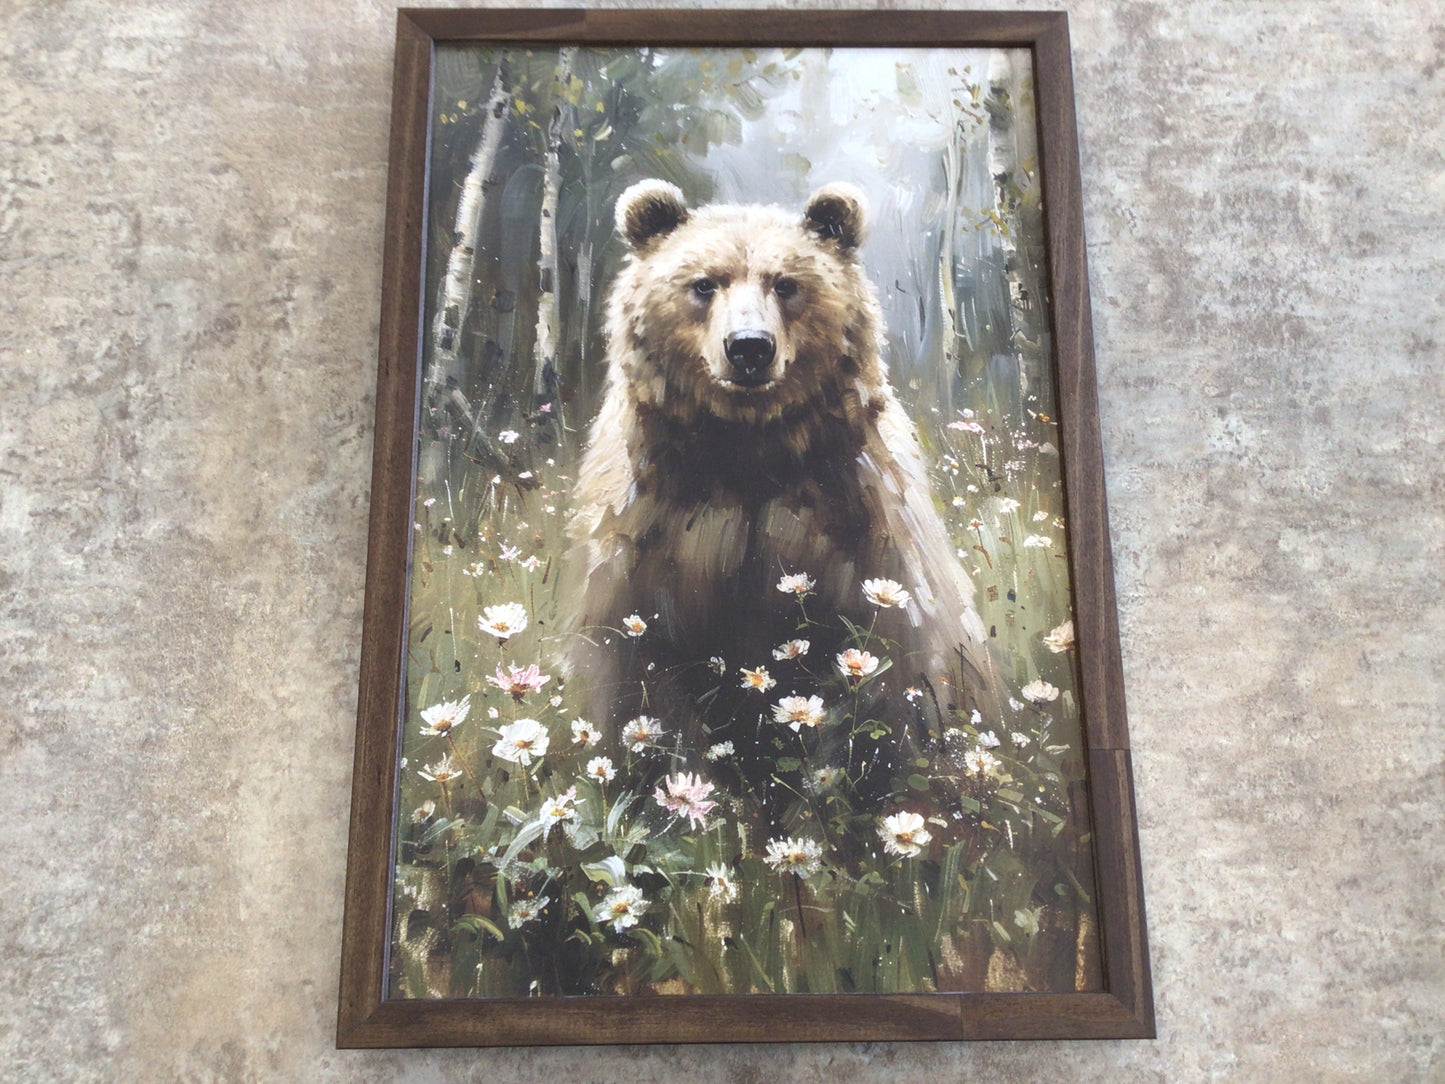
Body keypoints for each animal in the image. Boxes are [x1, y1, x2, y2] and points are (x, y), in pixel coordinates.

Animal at [560, 179, 999, 814]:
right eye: (704, 283)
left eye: (787, 283)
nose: (749, 348)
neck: (748, 453)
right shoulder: (652, 530)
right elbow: (641, 678)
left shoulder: (854, 521)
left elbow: (881, 677)